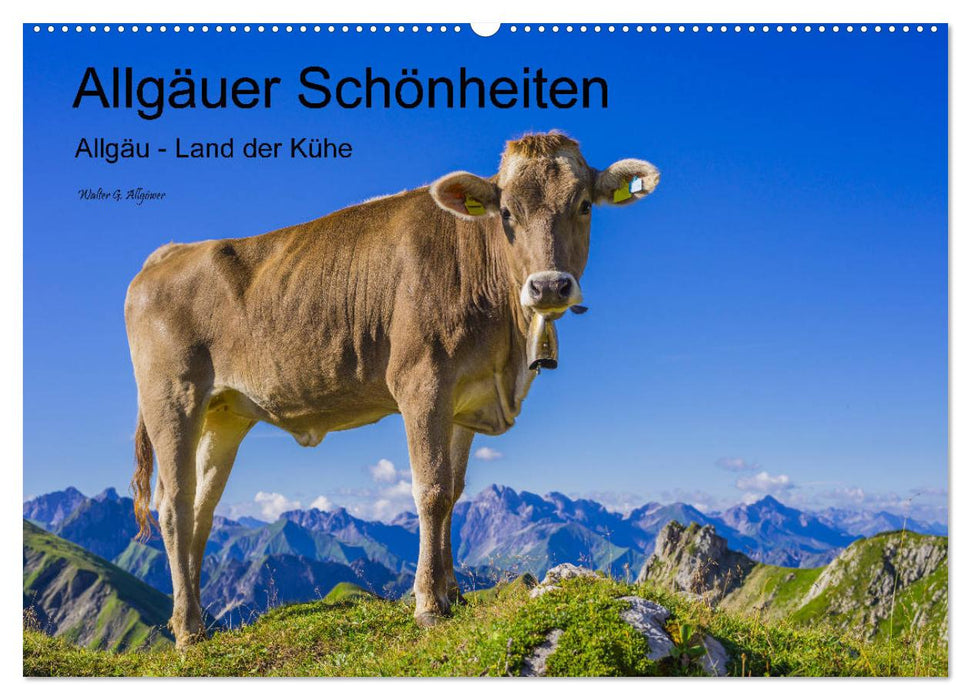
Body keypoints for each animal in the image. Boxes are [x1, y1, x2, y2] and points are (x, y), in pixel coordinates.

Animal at [125, 131, 659, 648]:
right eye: (507, 212)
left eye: (584, 205)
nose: (549, 286)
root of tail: (170, 252)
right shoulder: (422, 381)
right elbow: (432, 490)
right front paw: (427, 604)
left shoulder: (465, 397)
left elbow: (455, 491)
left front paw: (452, 594)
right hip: (172, 398)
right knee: (174, 506)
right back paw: (188, 630)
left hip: (224, 414)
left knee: (202, 509)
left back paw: (197, 621)